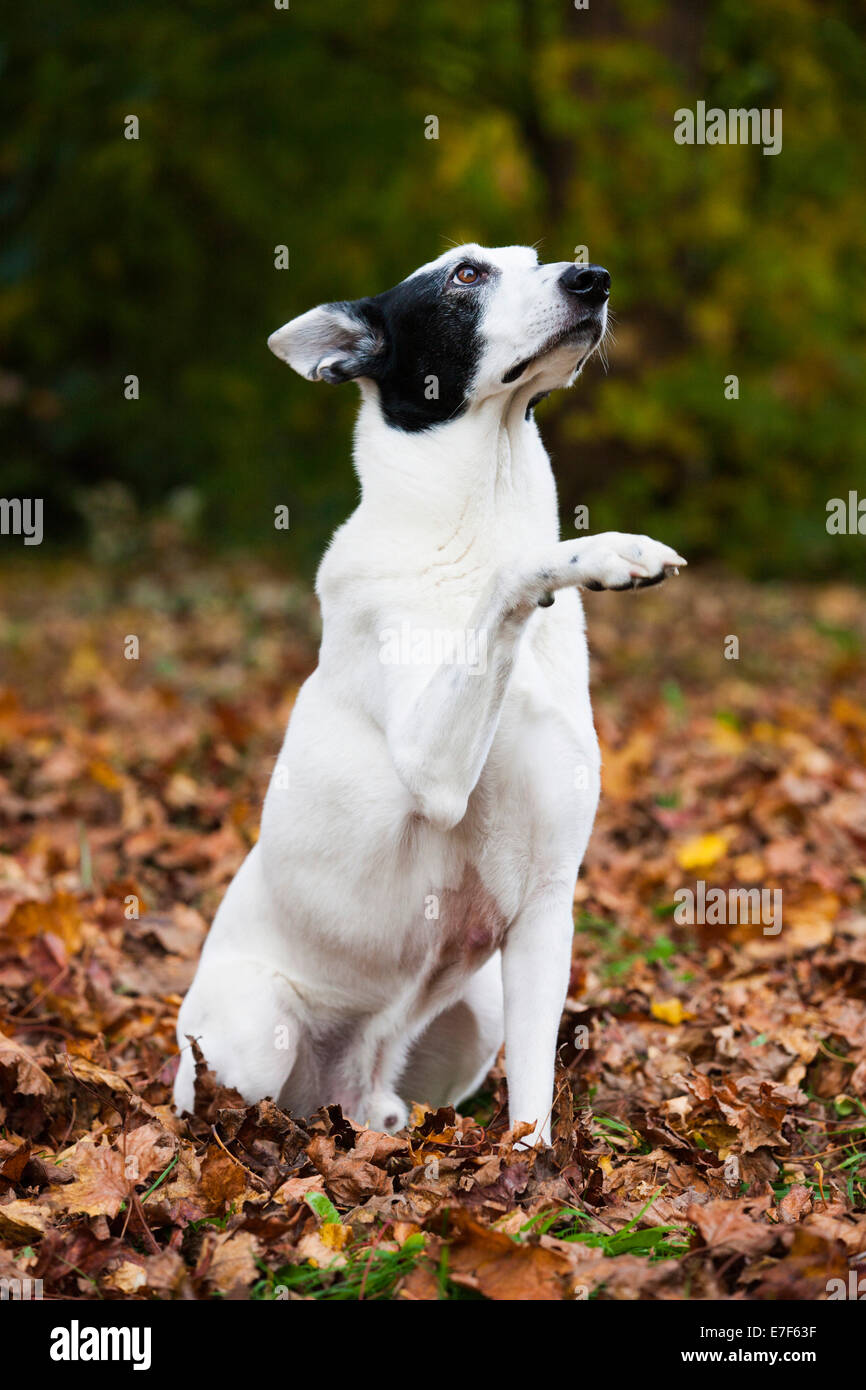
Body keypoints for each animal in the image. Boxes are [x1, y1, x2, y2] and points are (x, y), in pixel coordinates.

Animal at [174, 244, 683, 1145]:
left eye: (535, 259)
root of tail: (342, 1088)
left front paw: (533, 1165)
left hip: (474, 1018)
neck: (475, 516)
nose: (591, 280)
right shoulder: (434, 764)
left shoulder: (547, 906)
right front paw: (601, 550)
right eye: (465, 276)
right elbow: (518, 572)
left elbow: (534, 1088)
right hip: (254, 1033)